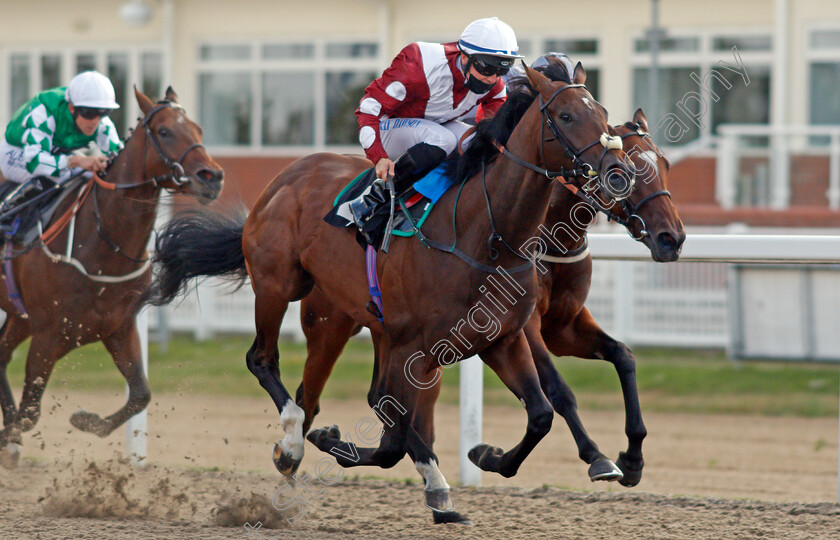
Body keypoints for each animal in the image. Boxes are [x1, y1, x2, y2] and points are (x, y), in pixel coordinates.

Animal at [0, 86, 223, 466]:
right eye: (164, 131)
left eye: (198, 129)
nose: (213, 177)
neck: (102, 244)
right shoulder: (48, 336)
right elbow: (30, 414)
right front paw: (10, 436)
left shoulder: (119, 327)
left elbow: (141, 394)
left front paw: (85, 420)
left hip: (19, 315)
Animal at [151, 65, 632, 512]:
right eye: (566, 116)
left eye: (604, 114)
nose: (618, 171)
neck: (486, 234)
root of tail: (285, 178)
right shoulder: (413, 346)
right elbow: (397, 432)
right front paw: (434, 482)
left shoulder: (501, 339)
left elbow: (540, 415)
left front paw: (487, 455)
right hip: (281, 286)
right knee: (264, 361)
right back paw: (291, 444)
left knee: (324, 396)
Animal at [292, 108, 684, 520]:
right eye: (626, 174)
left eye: (665, 165)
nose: (671, 238)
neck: (545, 233)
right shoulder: (526, 327)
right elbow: (558, 389)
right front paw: (596, 457)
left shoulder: (564, 326)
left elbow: (622, 356)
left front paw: (633, 459)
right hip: (332, 323)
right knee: (313, 394)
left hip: (388, 329)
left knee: (381, 396)